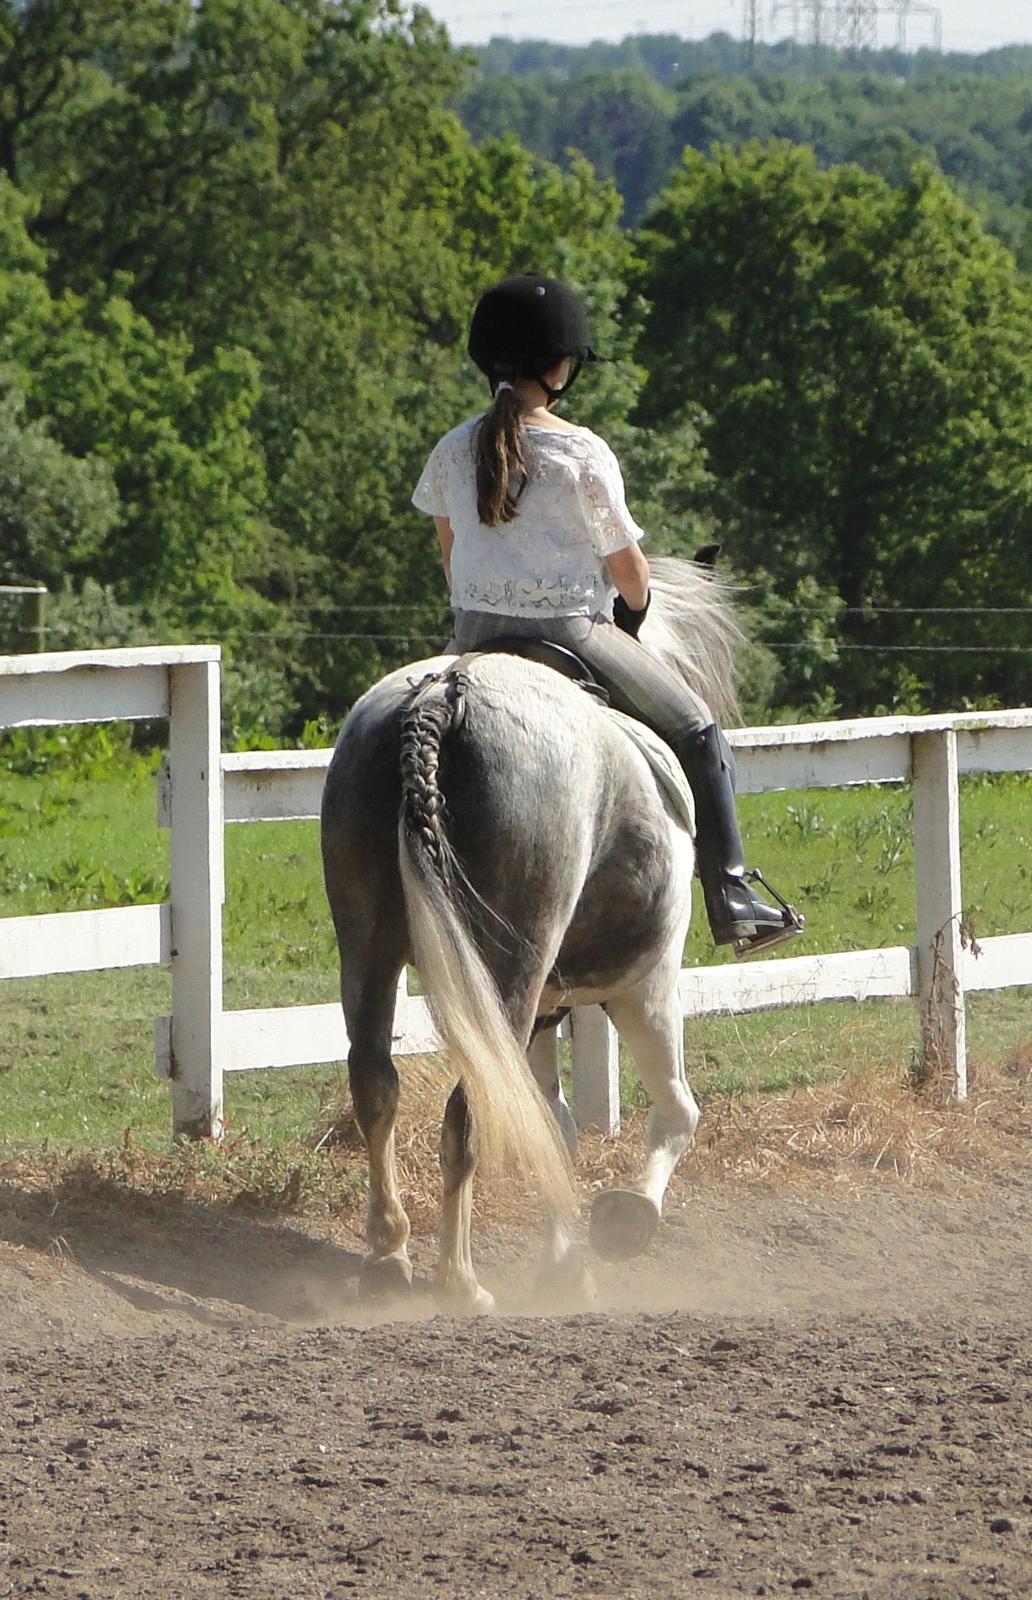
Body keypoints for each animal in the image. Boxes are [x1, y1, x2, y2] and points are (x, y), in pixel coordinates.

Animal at [321, 560, 739, 1312]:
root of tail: (443, 695)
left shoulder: (552, 1002)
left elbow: (550, 1123)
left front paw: (565, 1262)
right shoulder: (646, 984)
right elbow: (675, 1110)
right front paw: (627, 1219)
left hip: (369, 948)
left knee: (375, 1081)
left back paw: (390, 1255)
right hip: (510, 977)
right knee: (469, 1106)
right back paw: (459, 1281)